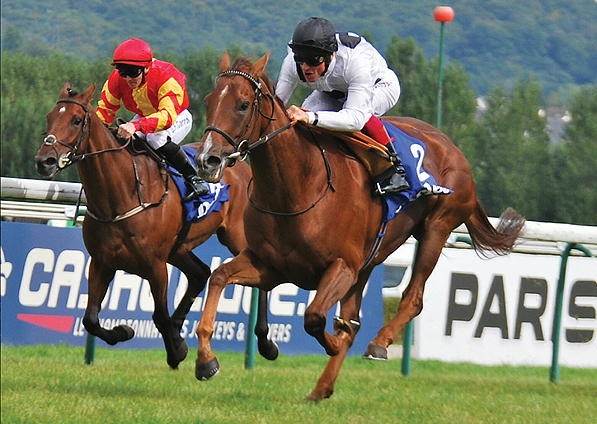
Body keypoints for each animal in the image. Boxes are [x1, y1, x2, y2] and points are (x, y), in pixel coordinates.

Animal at [36, 82, 278, 368]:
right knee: (200, 273)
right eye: (49, 117)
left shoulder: (155, 265)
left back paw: (265, 342)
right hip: (179, 248)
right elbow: (91, 319)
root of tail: (236, 162)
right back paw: (179, 325)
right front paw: (125, 331)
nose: (45, 161)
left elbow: (159, 316)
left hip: (237, 237)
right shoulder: (102, 261)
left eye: (75, 120)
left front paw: (177, 351)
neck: (122, 194)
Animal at [193, 53, 524, 400]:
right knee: (354, 317)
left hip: (436, 228)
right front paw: (206, 361)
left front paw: (333, 342)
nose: (206, 160)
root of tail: (453, 147)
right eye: (208, 100)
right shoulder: (270, 265)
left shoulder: (341, 266)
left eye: (243, 104)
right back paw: (321, 388)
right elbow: (218, 277)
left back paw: (378, 345)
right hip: (370, 259)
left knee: (412, 297)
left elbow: (315, 318)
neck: (297, 186)